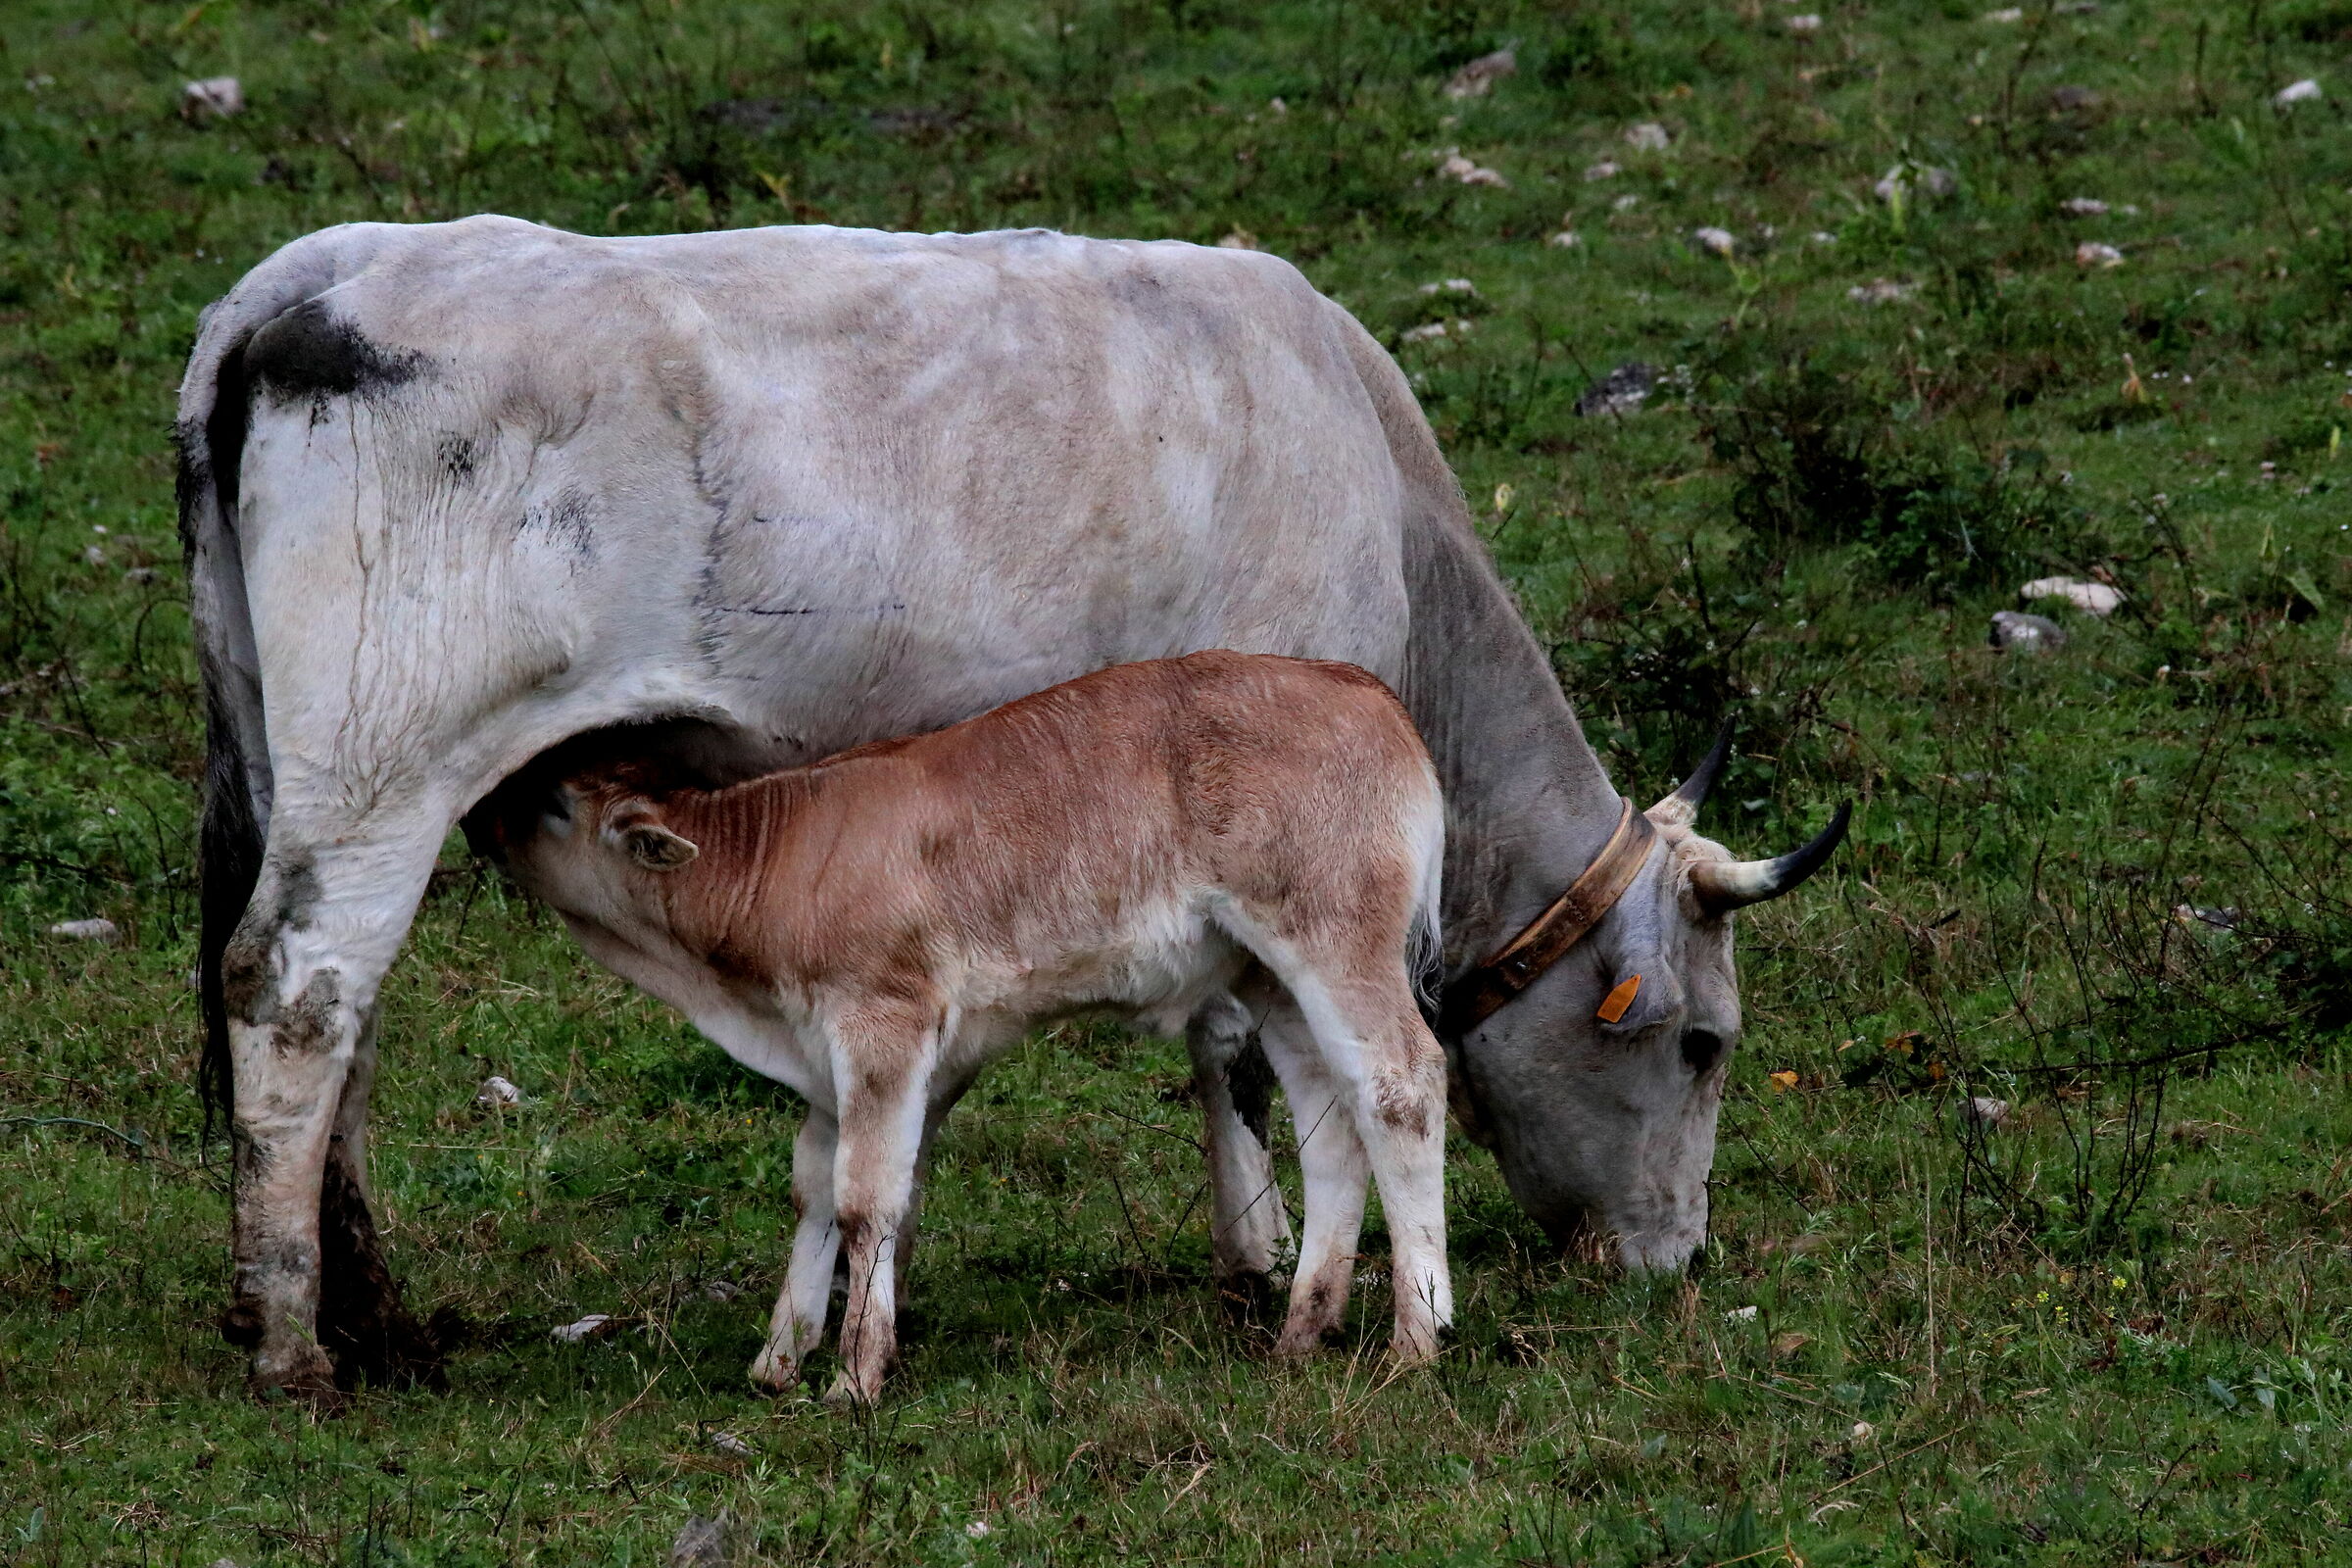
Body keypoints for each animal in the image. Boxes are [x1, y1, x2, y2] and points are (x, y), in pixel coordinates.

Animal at [487, 651, 1451, 1402]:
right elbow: (814, 1186)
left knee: (1402, 1084)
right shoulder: (827, 1050)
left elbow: (867, 1196)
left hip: (1335, 931)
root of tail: (1362, 688)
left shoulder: (884, 1017)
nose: (489, 811)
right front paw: (778, 1358)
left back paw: (1417, 1337)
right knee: (1331, 1117)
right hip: (1267, 969)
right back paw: (1302, 1331)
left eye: (557, 805)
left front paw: (854, 1376)